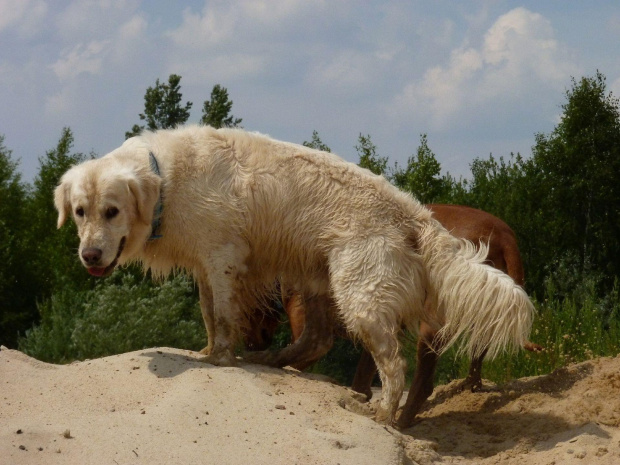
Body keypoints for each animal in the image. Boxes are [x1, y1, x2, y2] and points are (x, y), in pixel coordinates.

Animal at [55, 124, 536, 424]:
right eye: (79, 211)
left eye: (111, 211)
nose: (90, 255)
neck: (167, 181)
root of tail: (416, 216)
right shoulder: (205, 264)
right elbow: (210, 315)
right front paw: (209, 352)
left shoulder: (224, 257)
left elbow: (224, 318)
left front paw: (221, 358)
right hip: (316, 280)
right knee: (317, 340)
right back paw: (271, 360)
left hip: (358, 292)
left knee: (392, 365)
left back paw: (380, 414)